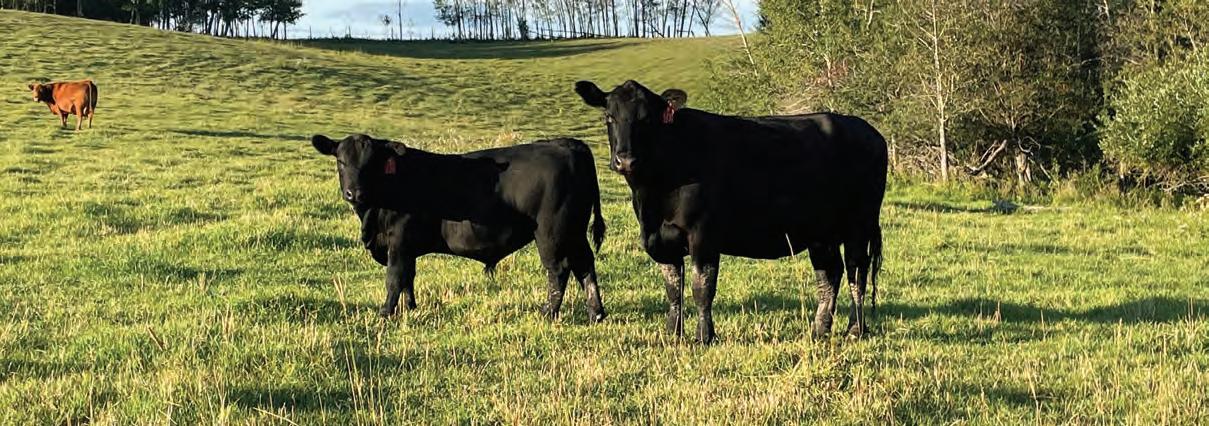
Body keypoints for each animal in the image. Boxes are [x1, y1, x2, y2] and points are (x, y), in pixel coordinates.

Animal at [311, 134, 608, 322]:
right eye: (341, 161)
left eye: (372, 164)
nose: (355, 193)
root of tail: (565, 144)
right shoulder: (405, 247)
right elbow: (408, 277)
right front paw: (411, 308)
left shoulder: (398, 240)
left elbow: (395, 278)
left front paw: (386, 313)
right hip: (574, 231)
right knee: (585, 266)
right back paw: (596, 313)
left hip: (551, 233)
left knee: (558, 270)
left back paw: (548, 312)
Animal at [574, 80, 887, 343]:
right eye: (609, 117)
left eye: (646, 119)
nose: (625, 160)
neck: (653, 196)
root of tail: (869, 132)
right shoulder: (662, 241)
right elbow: (673, 289)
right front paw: (672, 334)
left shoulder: (703, 235)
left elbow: (702, 289)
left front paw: (704, 337)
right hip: (821, 234)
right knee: (830, 275)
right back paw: (819, 330)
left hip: (860, 224)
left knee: (856, 273)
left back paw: (855, 330)